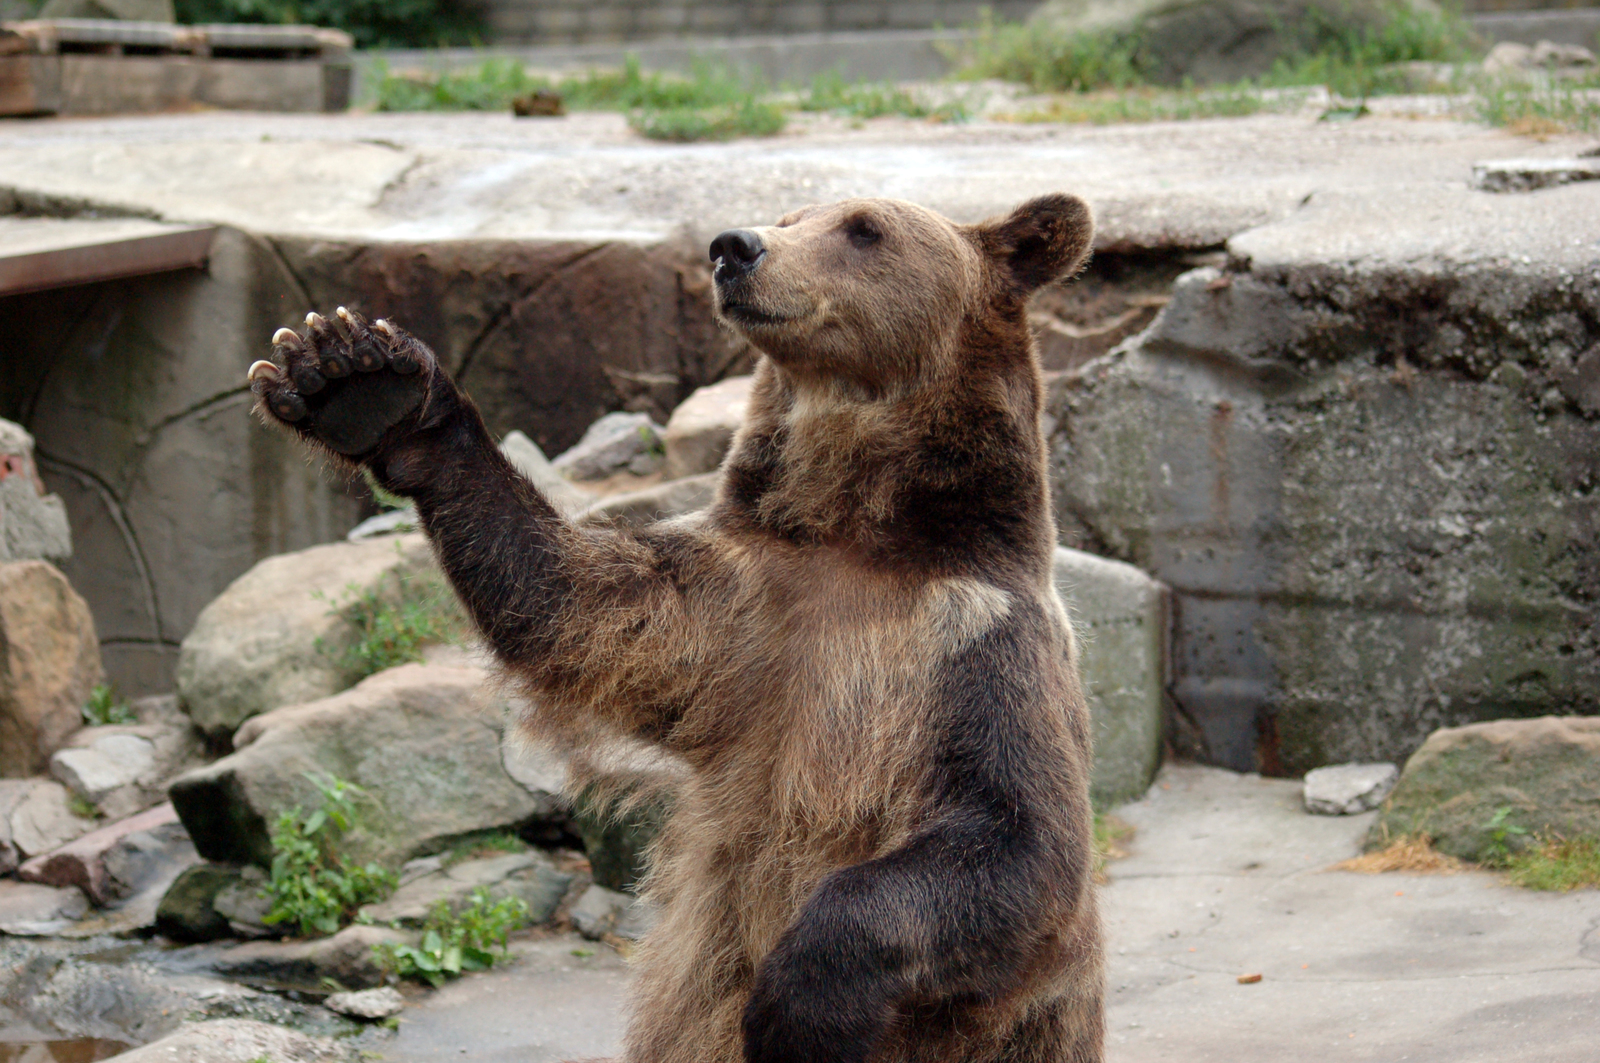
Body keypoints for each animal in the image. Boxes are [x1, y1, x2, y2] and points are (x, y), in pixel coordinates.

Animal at [249, 192, 1107, 1063]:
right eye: (793, 214)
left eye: (865, 227)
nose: (737, 247)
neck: (861, 531)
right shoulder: (741, 605)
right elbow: (569, 601)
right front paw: (357, 376)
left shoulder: (970, 644)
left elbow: (1019, 840)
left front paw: (799, 1005)